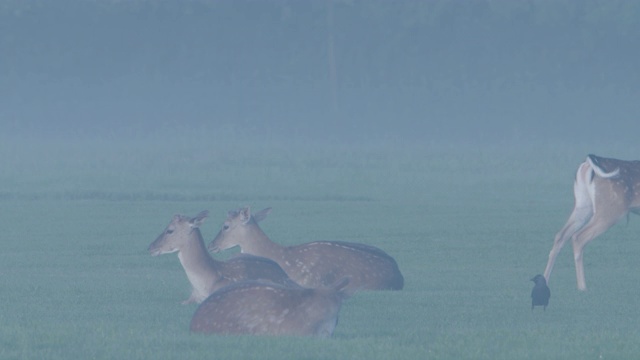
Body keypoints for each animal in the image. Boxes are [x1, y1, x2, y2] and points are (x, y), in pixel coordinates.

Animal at [544, 154, 640, 290]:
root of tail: (588, 163)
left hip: (583, 204)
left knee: (561, 235)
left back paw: (544, 281)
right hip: (610, 208)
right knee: (578, 237)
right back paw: (583, 288)